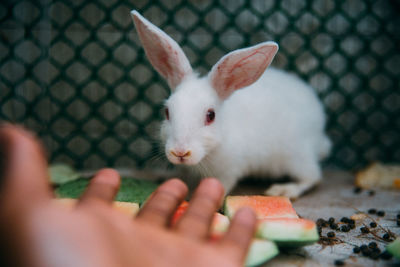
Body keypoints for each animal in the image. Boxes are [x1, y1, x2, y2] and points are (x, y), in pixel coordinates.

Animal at [131, 10, 332, 199]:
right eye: (167, 112)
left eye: (210, 115)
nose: (180, 152)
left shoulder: (230, 169)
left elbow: (223, 184)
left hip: (296, 155)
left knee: (313, 176)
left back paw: (284, 189)